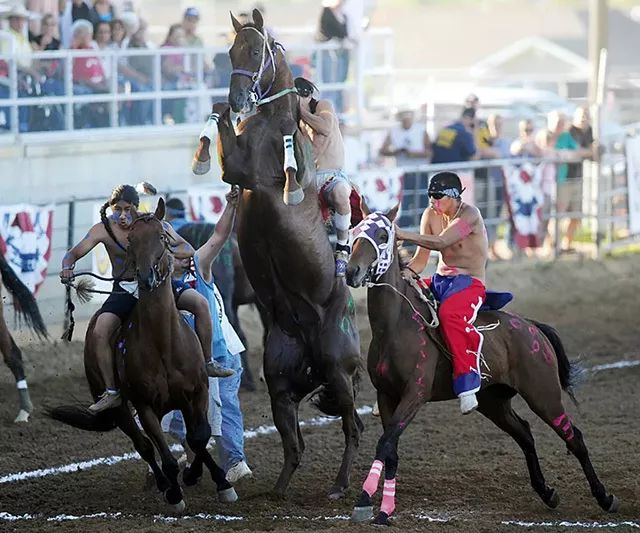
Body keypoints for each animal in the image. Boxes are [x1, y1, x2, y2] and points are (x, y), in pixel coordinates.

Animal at [48, 200, 235, 512]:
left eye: (162, 236)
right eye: (132, 240)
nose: (147, 277)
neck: (163, 343)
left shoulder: (196, 392)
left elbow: (199, 437)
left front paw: (218, 482)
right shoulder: (145, 406)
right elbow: (165, 454)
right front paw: (175, 495)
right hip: (120, 406)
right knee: (144, 446)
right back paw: (163, 484)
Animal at [191, 9, 364, 498]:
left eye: (255, 50)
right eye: (230, 50)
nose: (239, 95)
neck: (271, 123)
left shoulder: (257, 172)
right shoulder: (238, 165)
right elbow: (218, 119)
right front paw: (203, 151)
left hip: (339, 369)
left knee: (352, 427)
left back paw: (341, 484)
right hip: (281, 379)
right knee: (294, 442)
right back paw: (278, 490)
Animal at [348, 204, 616, 524]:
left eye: (382, 234)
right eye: (354, 231)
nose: (351, 271)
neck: (395, 325)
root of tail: (532, 327)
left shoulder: (415, 395)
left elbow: (385, 443)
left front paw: (365, 501)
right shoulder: (386, 396)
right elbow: (390, 449)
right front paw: (384, 508)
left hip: (544, 395)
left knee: (574, 437)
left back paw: (605, 497)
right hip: (494, 401)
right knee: (525, 433)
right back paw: (547, 492)